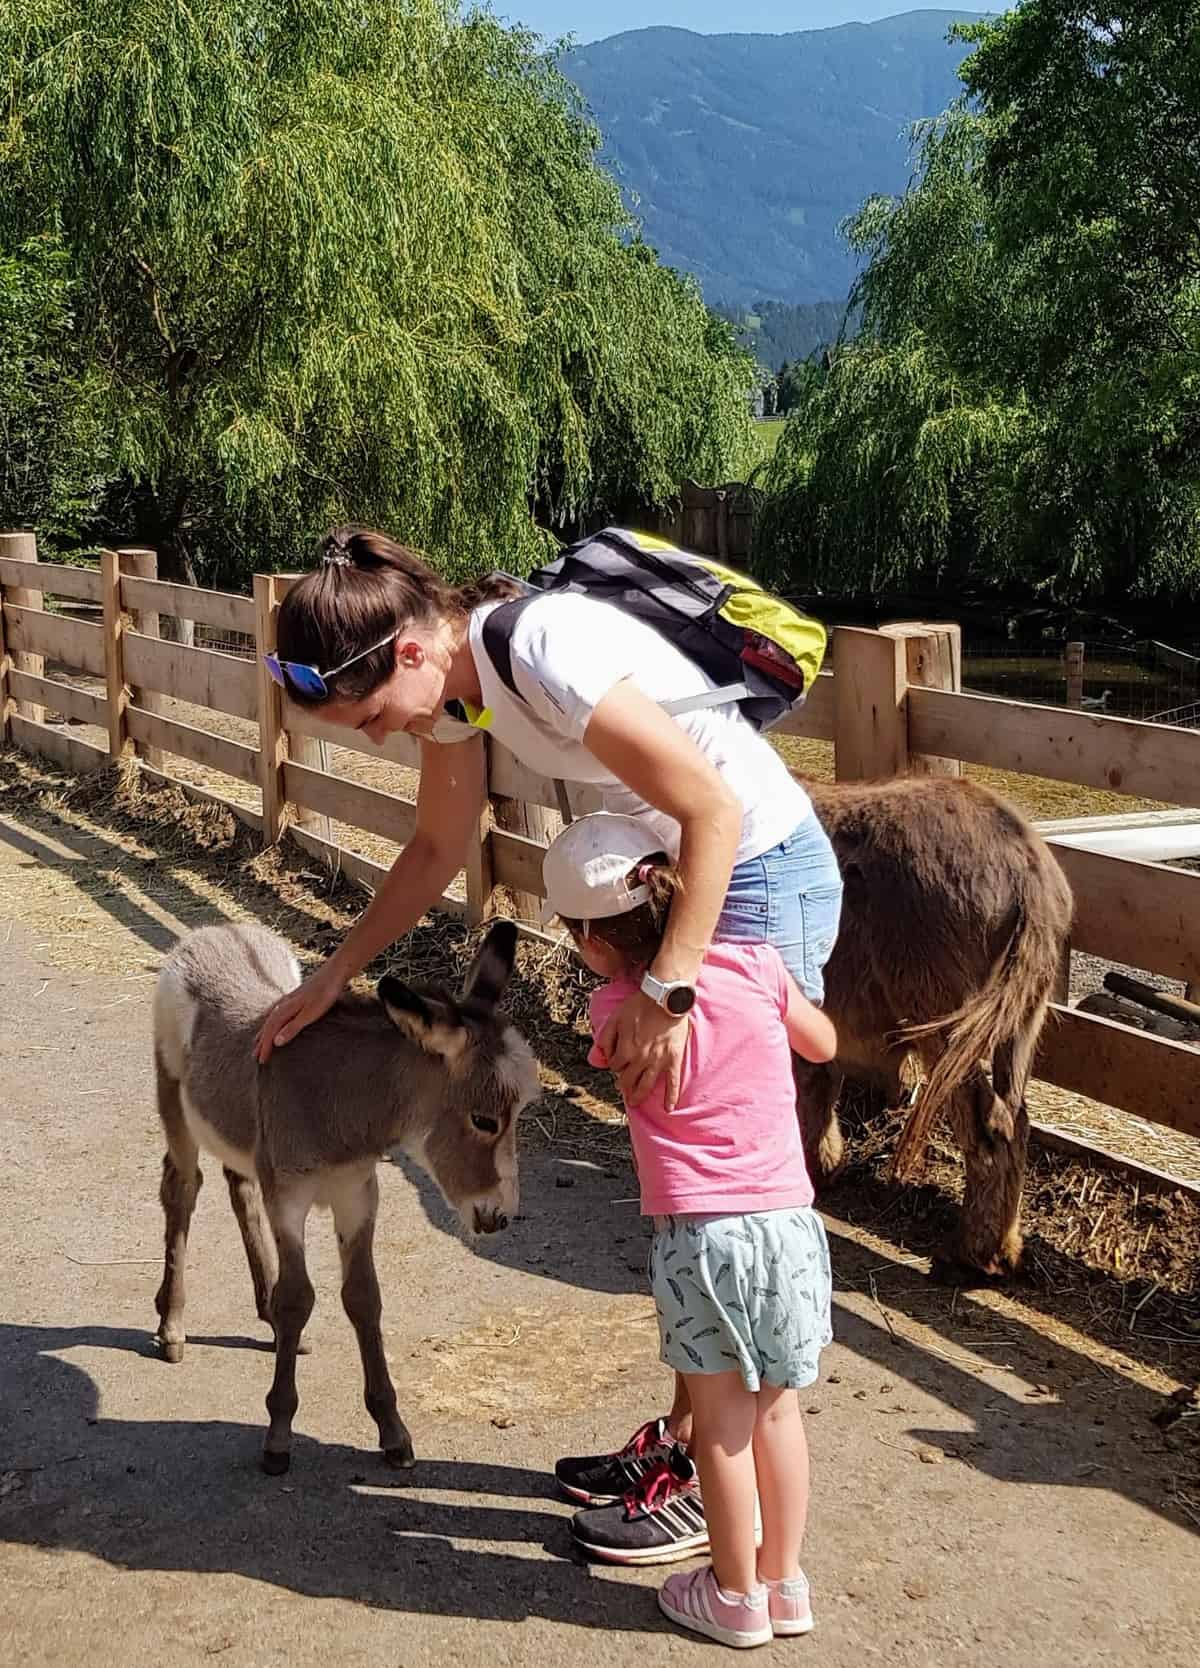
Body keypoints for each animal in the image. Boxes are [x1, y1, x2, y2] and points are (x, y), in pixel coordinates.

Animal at [151, 920, 534, 1481]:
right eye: (484, 1120)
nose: (500, 1218)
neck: (339, 1101)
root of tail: (218, 929)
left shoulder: (356, 1196)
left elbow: (363, 1299)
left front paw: (392, 1431)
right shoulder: (289, 1201)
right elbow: (298, 1298)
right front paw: (278, 1435)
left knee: (239, 1187)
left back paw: (264, 1316)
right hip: (173, 1101)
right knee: (182, 1190)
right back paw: (173, 1325)